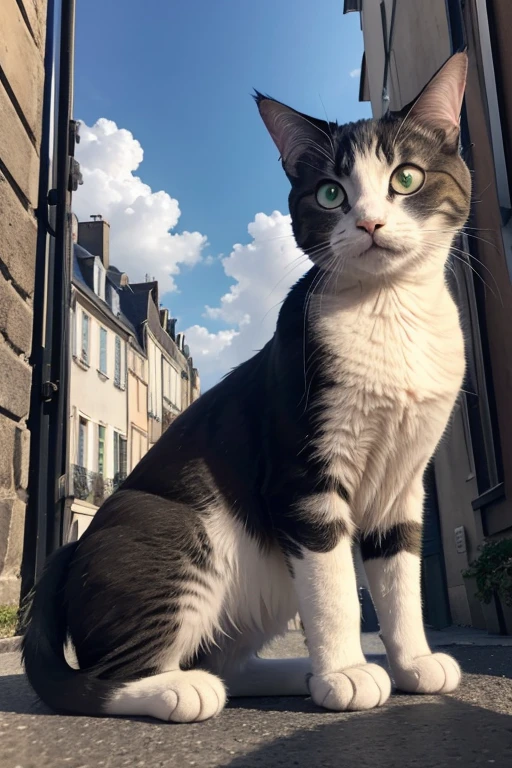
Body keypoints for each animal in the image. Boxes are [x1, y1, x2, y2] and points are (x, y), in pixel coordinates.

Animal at [24, 52, 472, 720]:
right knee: (105, 677)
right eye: (331, 192)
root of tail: (71, 551)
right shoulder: (303, 467)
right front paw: (346, 672)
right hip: (177, 527)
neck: (389, 310)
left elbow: (399, 577)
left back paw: (293, 673)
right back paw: (183, 688)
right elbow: (334, 585)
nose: (369, 221)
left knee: (224, 658)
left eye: (407, 178)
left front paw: (412, 663)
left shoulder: (403, 481)